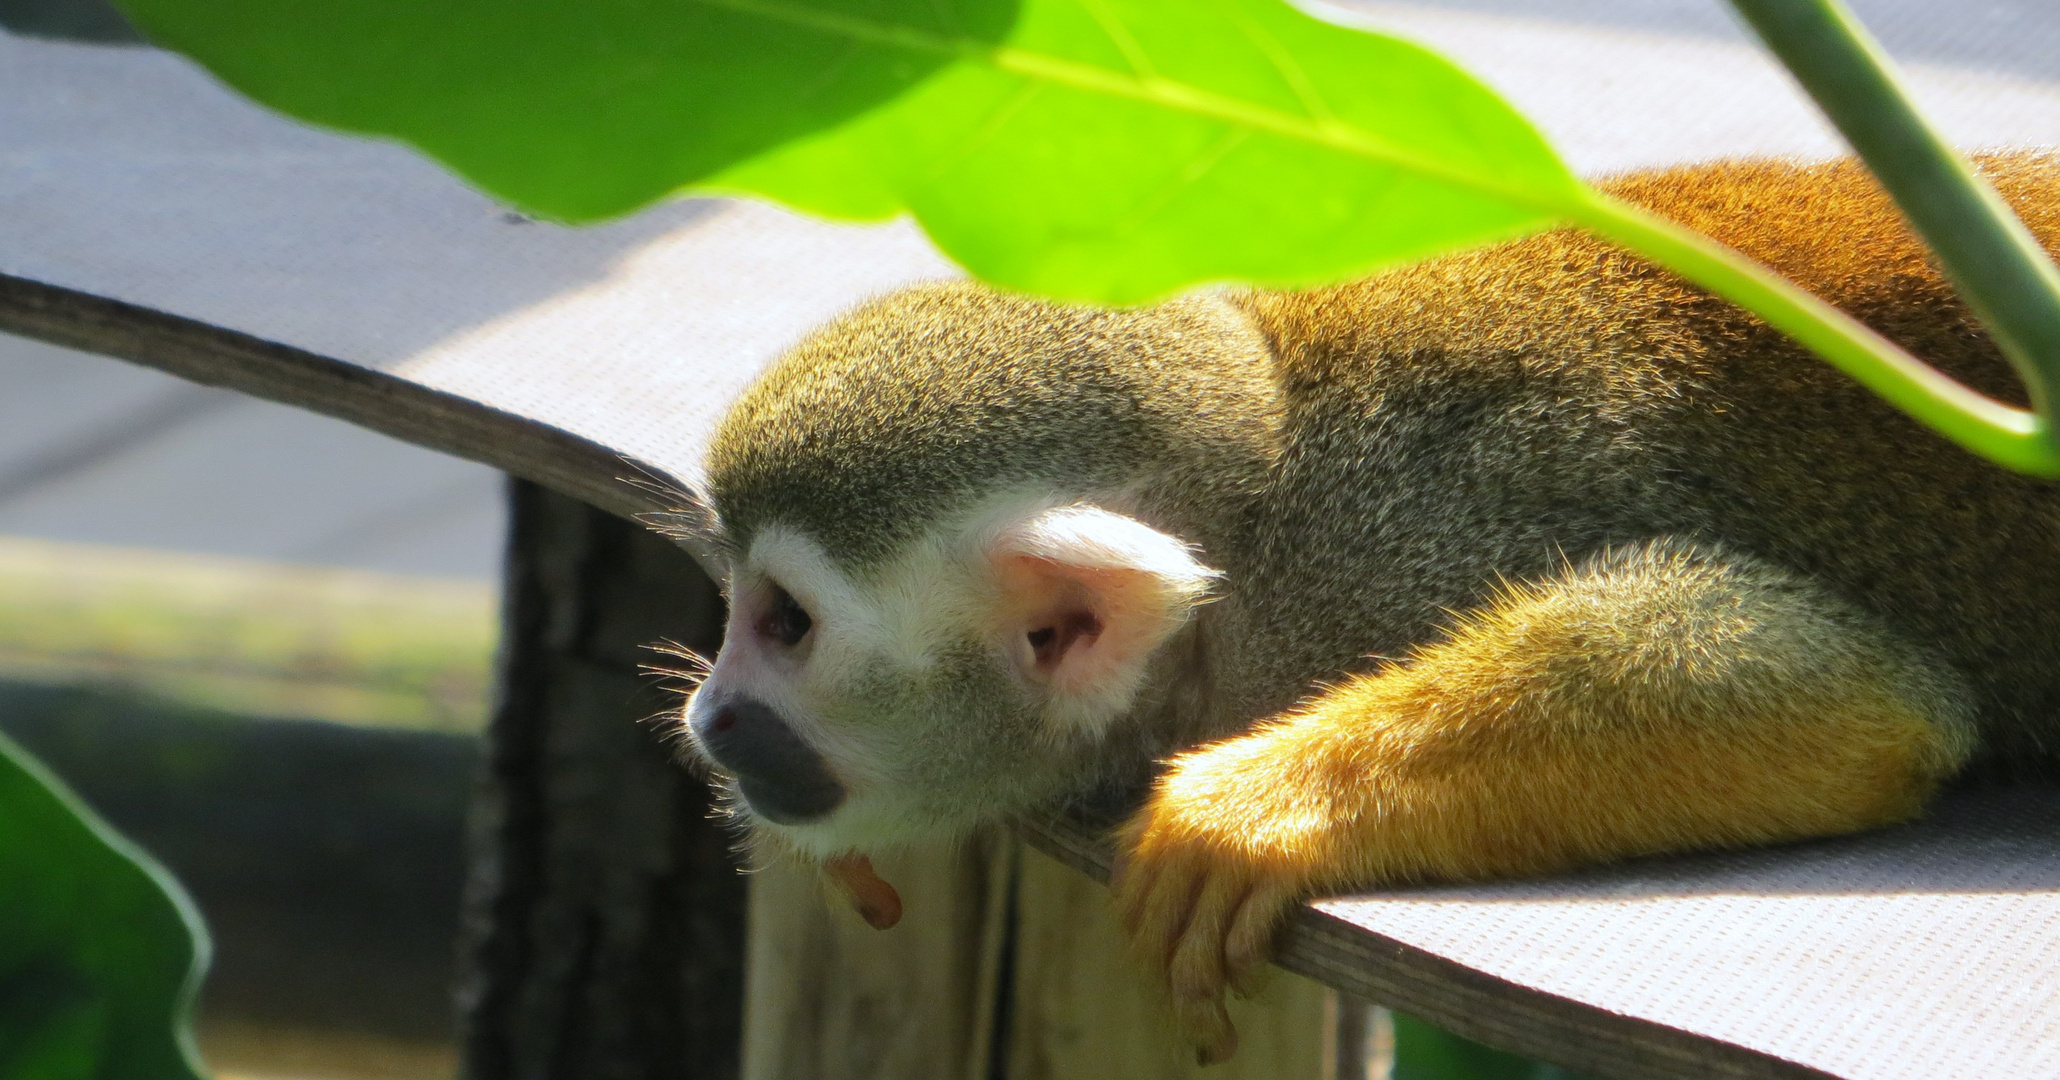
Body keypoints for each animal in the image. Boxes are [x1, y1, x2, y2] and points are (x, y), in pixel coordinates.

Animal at [679, 151, 2060, 1063]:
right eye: (741, 611)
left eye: (787, 624)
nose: (712, 718)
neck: (1261, 534)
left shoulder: (1425, 537)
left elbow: (1851, 693)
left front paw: (1254, 805)